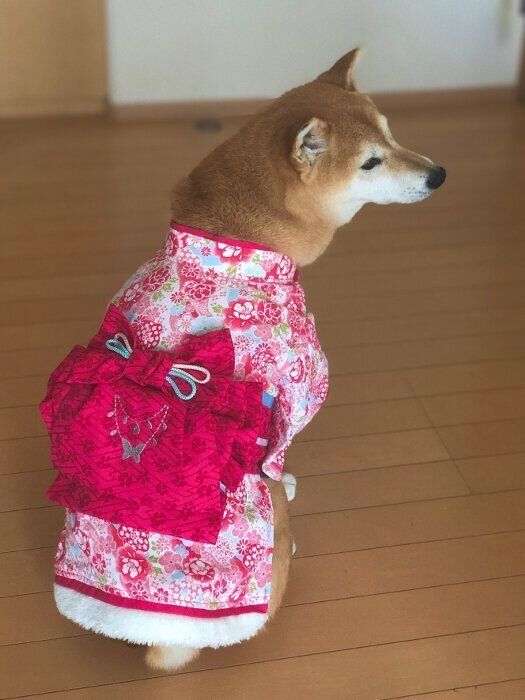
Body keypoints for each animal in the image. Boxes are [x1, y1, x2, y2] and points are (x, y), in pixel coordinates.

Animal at [45, 49, 445, 672]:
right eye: (371, 162)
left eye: (392, 133)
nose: (438, 174)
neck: (234, 242)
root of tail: (158, 637)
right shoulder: (301, 388)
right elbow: (278, 455)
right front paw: (293, 479)